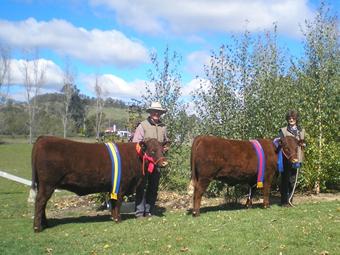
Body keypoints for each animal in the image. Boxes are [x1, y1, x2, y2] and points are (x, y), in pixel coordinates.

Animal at [29, 136, 169, 232]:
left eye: (163, 150)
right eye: (152, 151)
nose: (164, 163)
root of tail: (43, 138)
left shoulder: (113, 186)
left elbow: (113, 203)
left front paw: (113, 217)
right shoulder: (121, 186)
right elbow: (118, 202)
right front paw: (118, 219)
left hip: (44, 185)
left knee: (42, 203)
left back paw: (45, 224)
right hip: (47, 184)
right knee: (40, 202)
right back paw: (37, 228)